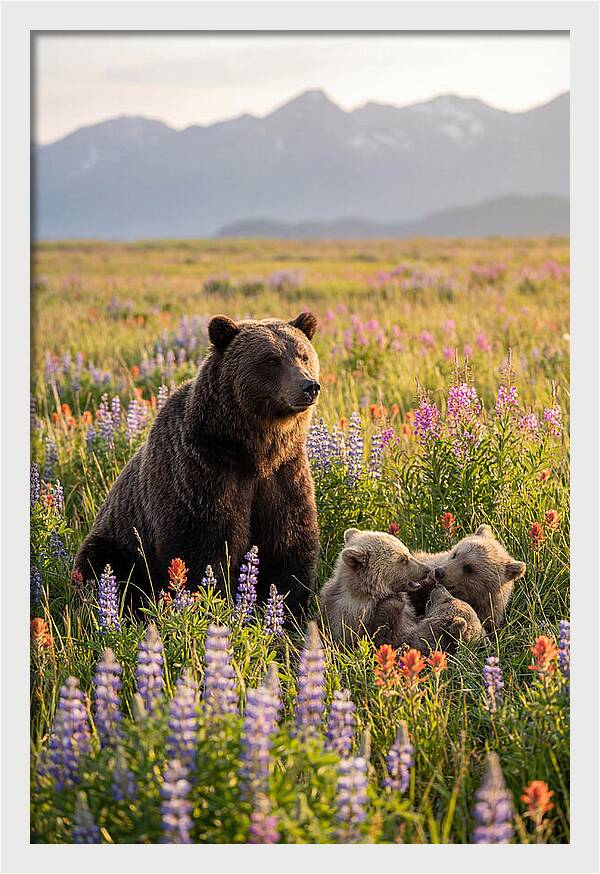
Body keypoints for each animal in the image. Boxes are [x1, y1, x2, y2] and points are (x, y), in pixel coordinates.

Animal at [74, 311, 321, 619]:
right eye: (271, 360)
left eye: (303, 356)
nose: (308, 386)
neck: (253, 451)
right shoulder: (202, 473)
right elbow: (203, 548)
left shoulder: (284, 474)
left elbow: (289, 545)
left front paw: (288, 613)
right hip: (118, 541)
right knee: (103, 567)